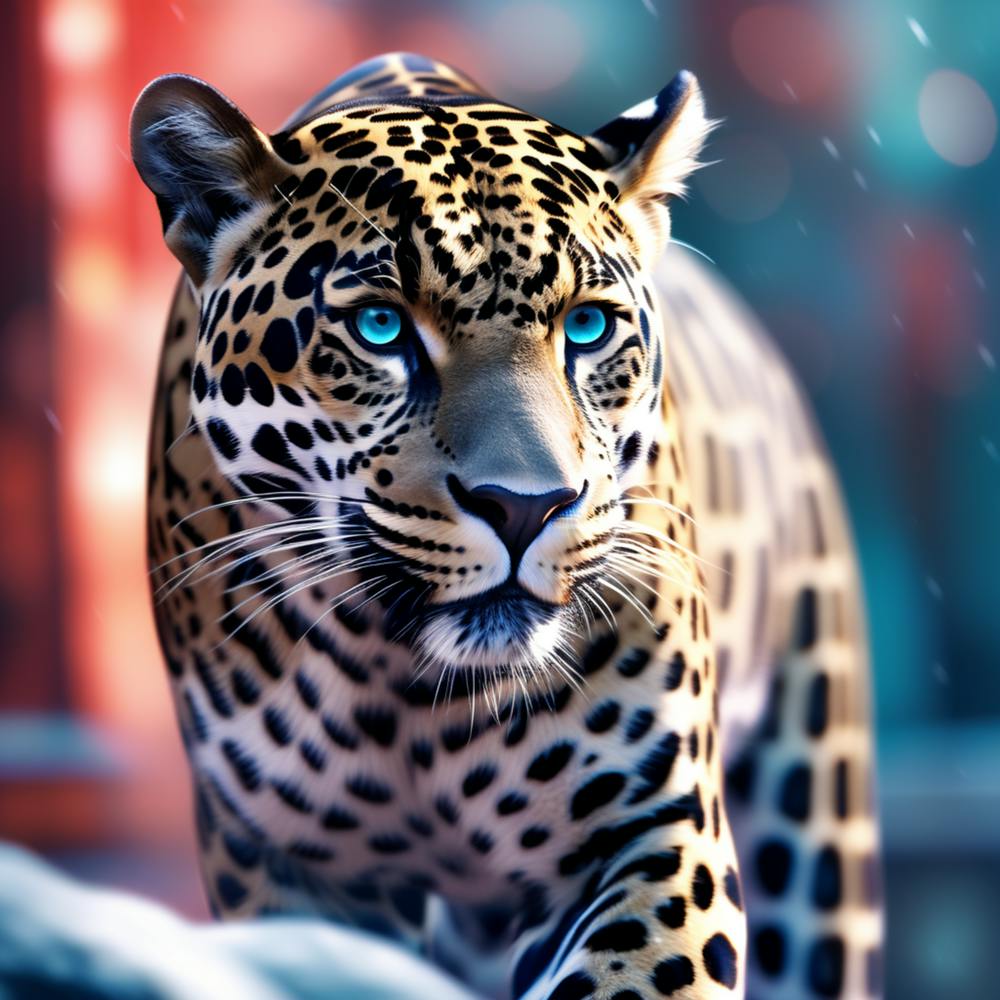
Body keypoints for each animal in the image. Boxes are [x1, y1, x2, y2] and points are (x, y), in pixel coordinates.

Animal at [132, 52, 883, 999]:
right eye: (380, 324)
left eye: (588, 325)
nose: (525, 505)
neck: (406, 692)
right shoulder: (290, 868)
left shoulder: (652, 830)